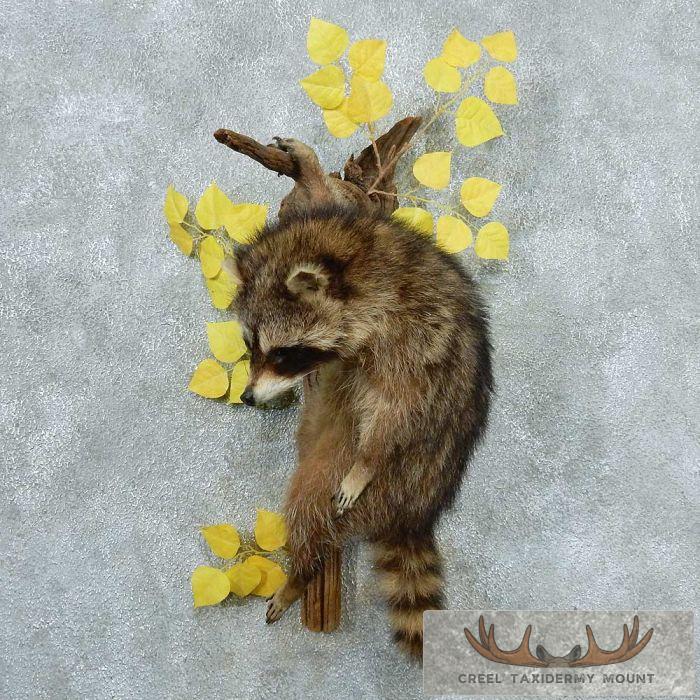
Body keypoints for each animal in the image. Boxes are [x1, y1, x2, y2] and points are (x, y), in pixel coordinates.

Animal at [228, 206, 493, 660]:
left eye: (283, 353)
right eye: (250, 347)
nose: (246, 396)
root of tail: (414, 512)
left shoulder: (413, 334)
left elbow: (396, 408)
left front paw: (367, 460)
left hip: (383, 480)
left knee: (306, 508)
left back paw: (300, 574)